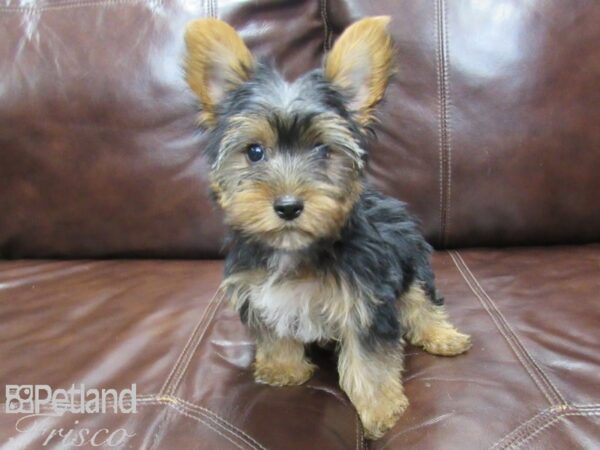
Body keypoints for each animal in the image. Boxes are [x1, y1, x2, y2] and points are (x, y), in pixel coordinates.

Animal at [185, 15, 472, 438]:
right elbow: (274, 333)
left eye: (323, 150)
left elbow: (369, 359)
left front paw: (380, 410)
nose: (288, 206)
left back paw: (443, 337)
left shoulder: (367, 298)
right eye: (254, 152)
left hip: (412, 262)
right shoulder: (259, 293)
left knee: (421, 302)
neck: (295, 251)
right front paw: (283, 368)